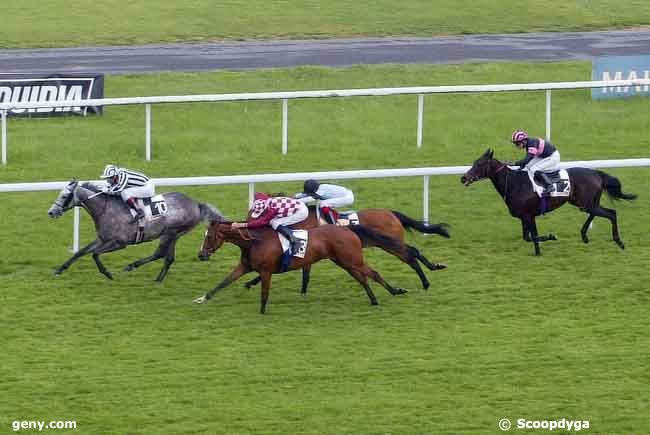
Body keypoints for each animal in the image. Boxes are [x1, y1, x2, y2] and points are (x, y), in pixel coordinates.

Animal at [194, 223, 404, 316]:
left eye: (209, 236)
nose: (201, 255)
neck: (254, 242)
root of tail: (348, 229)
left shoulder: (266, 271)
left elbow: (264, 293)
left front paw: (262, 312)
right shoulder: (245, 267)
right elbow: (223, 283)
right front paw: (202, 299)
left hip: (351, 260)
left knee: (372, 273)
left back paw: (395, 291)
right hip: (344, 262)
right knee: (362, 278)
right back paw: (374, 300)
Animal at [240, 205, 448, 292]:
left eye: (254, 213)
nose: (246, 225)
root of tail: (392, 213)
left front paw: (251, 282)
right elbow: (304, 272)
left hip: (390, 242)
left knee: (410, 254)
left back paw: (427, 279)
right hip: (389, 242)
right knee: (411, 252)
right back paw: (430, 272)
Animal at [458, 149, 636, 255]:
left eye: (480, 164)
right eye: (474, 162)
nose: (464, 178)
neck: (515, 183)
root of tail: (596, 173)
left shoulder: (529, 215)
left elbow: (533, 236)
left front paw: (550, 238)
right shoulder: (525, 217)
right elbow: (528, 237)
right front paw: (539, 250)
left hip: (586, 203)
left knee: (612, 213)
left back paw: (619, 242)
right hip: (585, 203)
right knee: (596, 213)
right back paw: (584, 235)